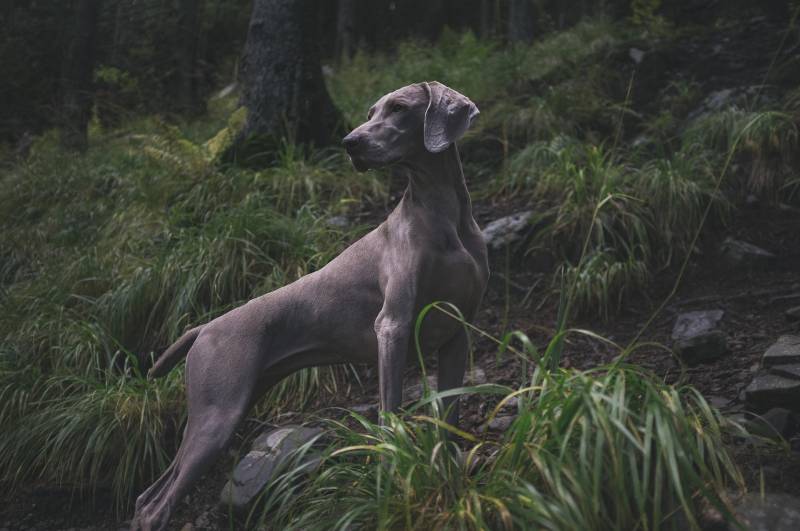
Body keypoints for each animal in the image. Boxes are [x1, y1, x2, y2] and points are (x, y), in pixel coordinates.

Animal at [131, 81, 488, 528]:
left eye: (399, 108)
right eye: (370, 112)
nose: (350, 142)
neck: (443, 215)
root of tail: (204, 327)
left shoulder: (458, 332)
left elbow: (449, 419)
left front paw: (448, 477)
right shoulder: (393, 326)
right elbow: (390, 413)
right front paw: (394, 473)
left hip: (225, 408)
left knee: (147, 496)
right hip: (216, 416)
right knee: (155, 506)